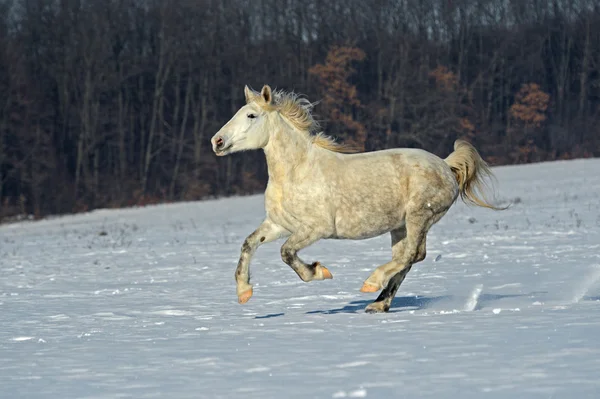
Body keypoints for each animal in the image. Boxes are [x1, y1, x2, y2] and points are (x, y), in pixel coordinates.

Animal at [211, 86, 502, 314]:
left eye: (251, 115)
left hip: (419, 217)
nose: (217, 141)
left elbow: (286, 253)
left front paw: (319, 271)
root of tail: (445, 165)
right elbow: (249, 244)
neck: (297, 171)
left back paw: (371, 284)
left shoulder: (316, 228)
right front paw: (244, 292)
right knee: (408, 258)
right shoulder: (278, 224)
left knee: (411, 255)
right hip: (400, 226)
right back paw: (378, 304)